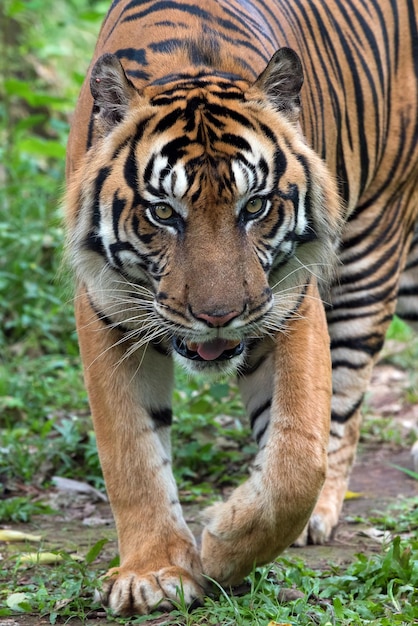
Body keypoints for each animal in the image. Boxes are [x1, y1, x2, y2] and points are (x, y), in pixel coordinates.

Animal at [63, 0, 416, 616]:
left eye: (254, 206)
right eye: (162, 212)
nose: (219, 317)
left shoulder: (290, 300)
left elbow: (297, 457)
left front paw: (223, 545)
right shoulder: (106, 310)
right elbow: (130, 452)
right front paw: (152, 573)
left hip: (371, 251)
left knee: (344, 405)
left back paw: (319, 515)